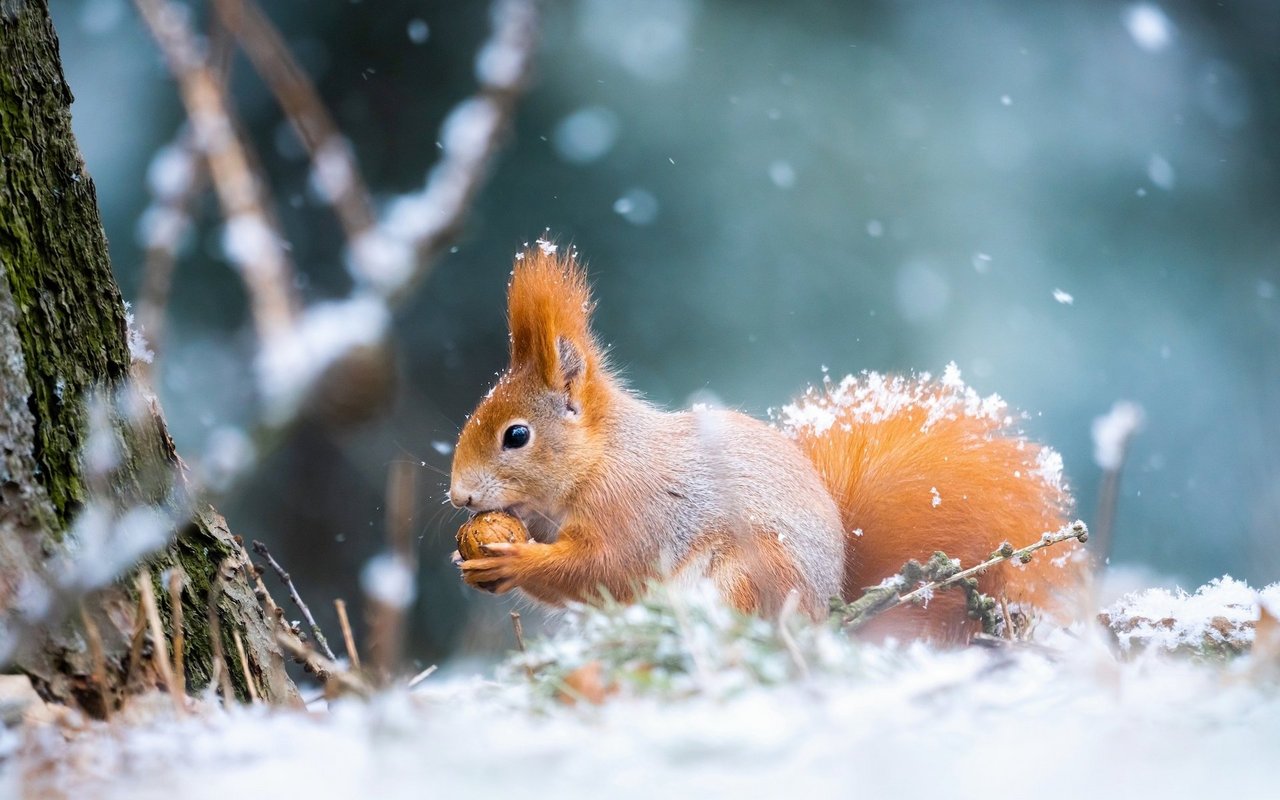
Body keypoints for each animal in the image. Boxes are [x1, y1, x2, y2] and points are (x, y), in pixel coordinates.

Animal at [450, 240, 1080, 640]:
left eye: (516, 435)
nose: (459, 497)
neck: (600, 460)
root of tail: (832, 613)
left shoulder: (635, 510)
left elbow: (606, 568)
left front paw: (513, 561)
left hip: (748, 576)